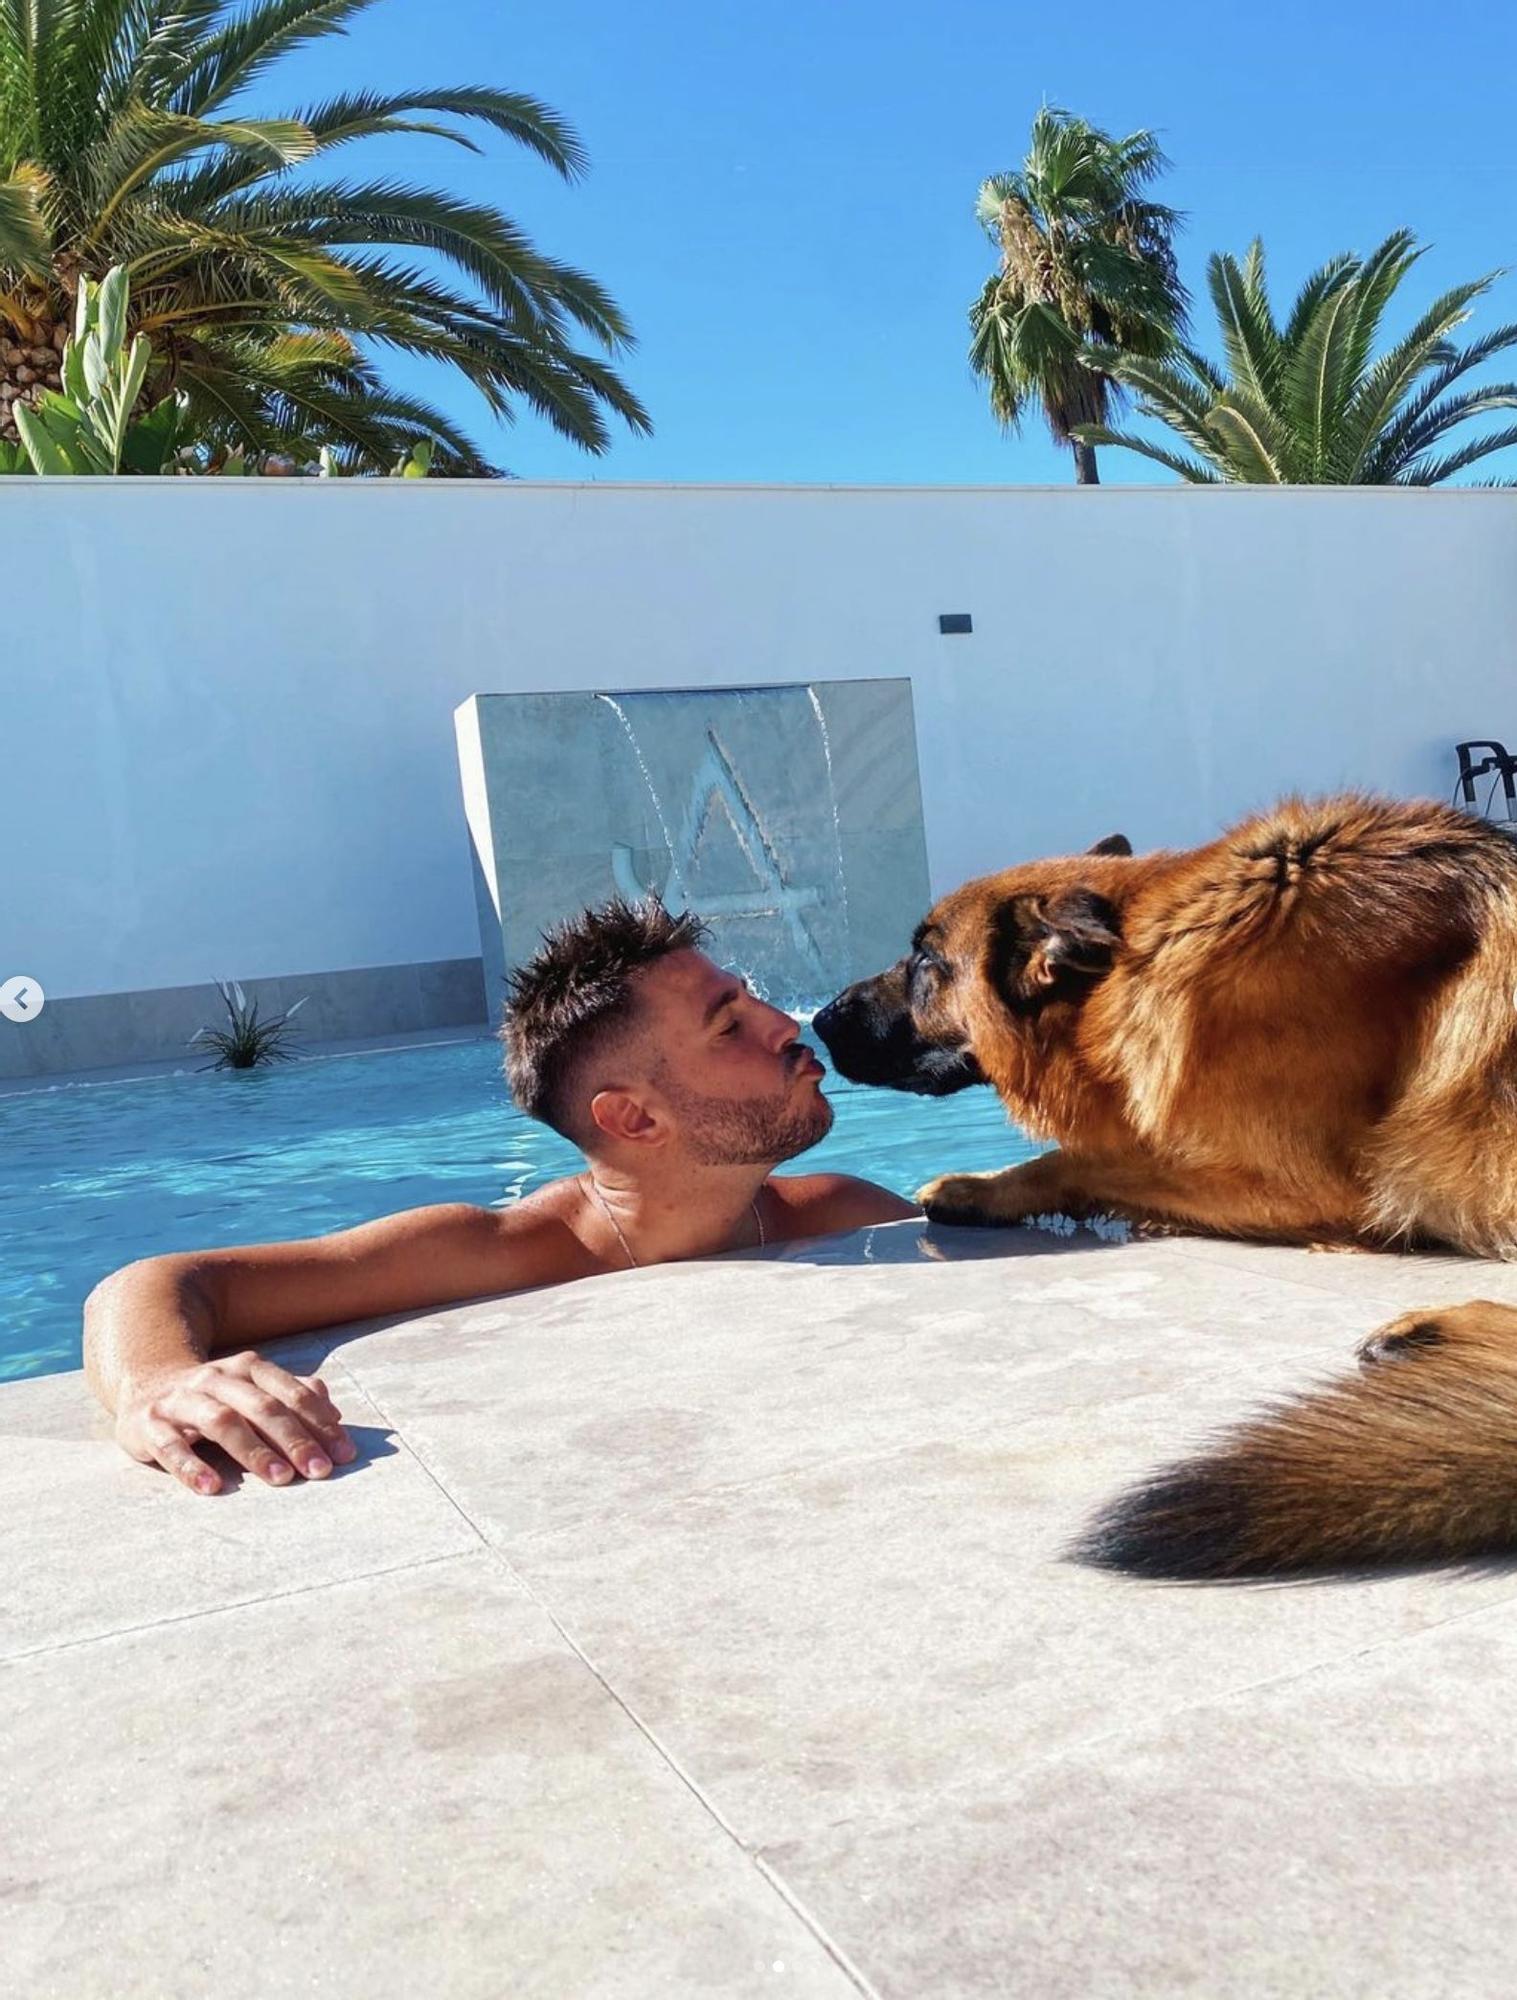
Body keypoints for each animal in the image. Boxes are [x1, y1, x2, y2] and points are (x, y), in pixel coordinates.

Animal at [820, 796, 1517, 1576]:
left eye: (926, 962)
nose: (819, 1018)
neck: (1145, 953)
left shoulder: (1309, 1192)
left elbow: (1081, 1157)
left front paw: (978, 1188)